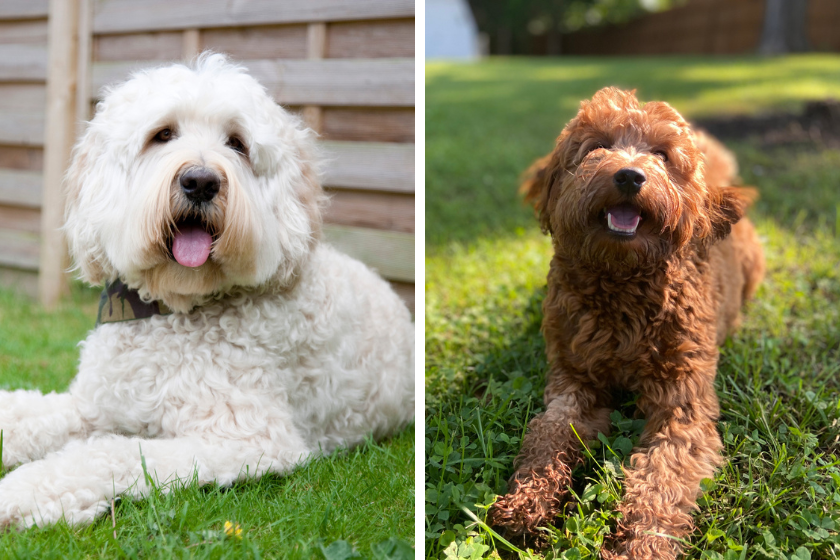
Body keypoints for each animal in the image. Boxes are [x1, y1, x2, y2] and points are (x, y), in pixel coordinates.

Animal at [0, 53, 416, 528]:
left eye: (236, 143)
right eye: (163, 134)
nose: (200, 181)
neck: (173, 310)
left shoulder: (247, 439)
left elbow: (110, 453)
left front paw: (23, 491)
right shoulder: (94, 405)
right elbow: (26, 413)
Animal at [488, 87, 764, 556]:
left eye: (662, 154)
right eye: (596, 146)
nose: (630, 177)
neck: (621, 286)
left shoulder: (681, 406)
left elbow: (662, 477)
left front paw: (641, 542)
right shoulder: (573, 383)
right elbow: (547, 436)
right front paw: (526, 502)